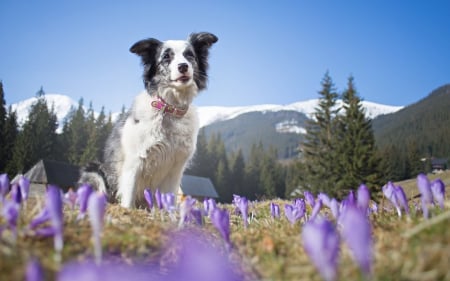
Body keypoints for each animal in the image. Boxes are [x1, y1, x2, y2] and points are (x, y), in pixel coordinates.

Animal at [80, 33, 218, 208]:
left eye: (189, 55)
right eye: (166, 57)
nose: (183, 66)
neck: (170, 109)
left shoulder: (176, 168)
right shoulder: (134, 162)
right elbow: (128, 198)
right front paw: (127, 210)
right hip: (94, 171)